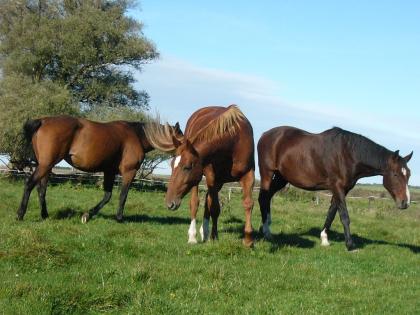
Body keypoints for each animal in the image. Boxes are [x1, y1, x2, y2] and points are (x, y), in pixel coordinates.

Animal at [16, 115, 182, 222]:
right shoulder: (129, 172)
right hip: (46, 164)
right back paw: (20, 214)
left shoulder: (109, 172)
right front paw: (119, 218)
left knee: (41, 189)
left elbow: (107, 196)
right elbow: (123, 195)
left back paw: (45, 215)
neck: (136, 135)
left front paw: (88, 215)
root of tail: (43, 121)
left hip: (46, 166)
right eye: (181, 137)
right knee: (29, 184)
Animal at [146, 105, 254, 247]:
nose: (169, 203)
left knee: (207, 200)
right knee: (195, 203)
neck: (234, 142)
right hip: (200, 182)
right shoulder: (211, 177)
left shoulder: (248, 175)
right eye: (172, 165)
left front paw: (248, 240)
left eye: (187, 167)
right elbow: (214, 208)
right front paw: (214, 237)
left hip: (218, 182)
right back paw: (193, 236)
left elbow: (248, 204)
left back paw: (204, 232)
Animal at [258, 126, 412, 252]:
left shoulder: (343, 189)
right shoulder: (337, 187)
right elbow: (344, 216)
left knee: (268, 197)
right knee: (263, 198)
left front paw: (324, 239)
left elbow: (331, 213)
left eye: (408, 174)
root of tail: (266, 134)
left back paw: (267, 227)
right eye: (395, 174)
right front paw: (350, 245)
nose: (405, 203)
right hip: (267, 173)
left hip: (281, 178)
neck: (348, 154)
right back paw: (266, 232)